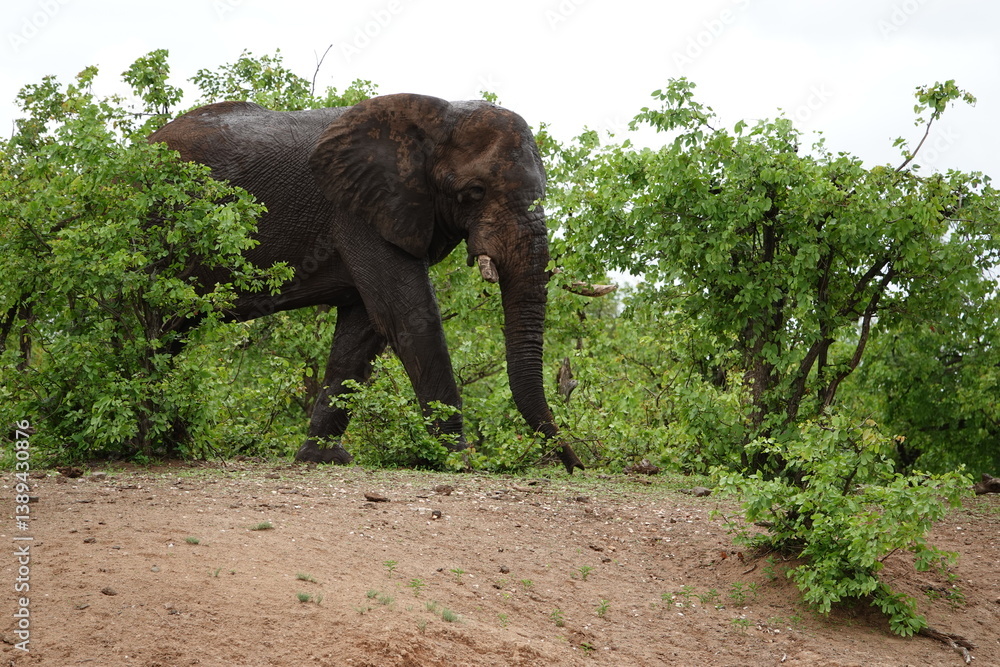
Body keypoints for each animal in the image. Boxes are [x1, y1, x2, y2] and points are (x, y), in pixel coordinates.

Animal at [148, 93, 585, 473]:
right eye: (474, 192)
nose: (574, 465)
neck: (438, 116)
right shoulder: (360, 211)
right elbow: (408, 313)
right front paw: (459, 460)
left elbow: (364, 329)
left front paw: (322, 458)